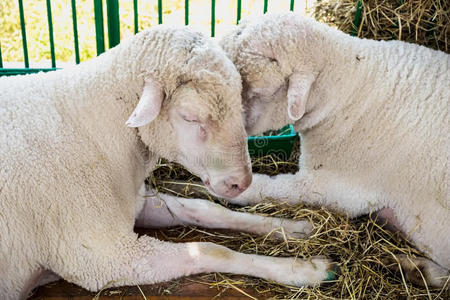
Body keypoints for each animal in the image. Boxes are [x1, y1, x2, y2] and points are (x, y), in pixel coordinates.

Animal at [0, 24, 334, 298]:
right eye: (190, 117)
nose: (241, 183)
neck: (97, 129)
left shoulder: (137, 201)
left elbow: (208, 209)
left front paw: (295, 228)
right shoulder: (103, 258)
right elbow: (210, 251)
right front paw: (306, 270)